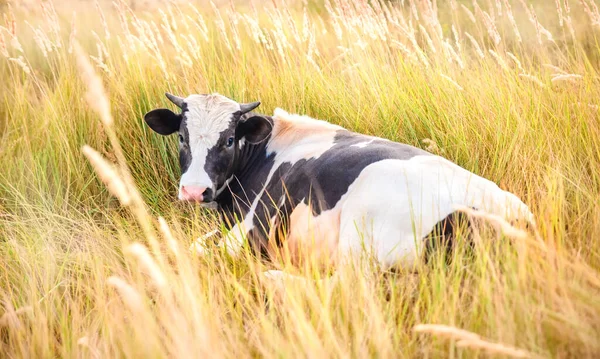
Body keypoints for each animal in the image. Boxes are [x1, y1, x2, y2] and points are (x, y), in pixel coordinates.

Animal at [145, 94, 536, 268]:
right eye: (182, 137)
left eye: (228, 140)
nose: (194, 190)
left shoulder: (252, 230)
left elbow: (194, 248)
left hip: (361, 236)